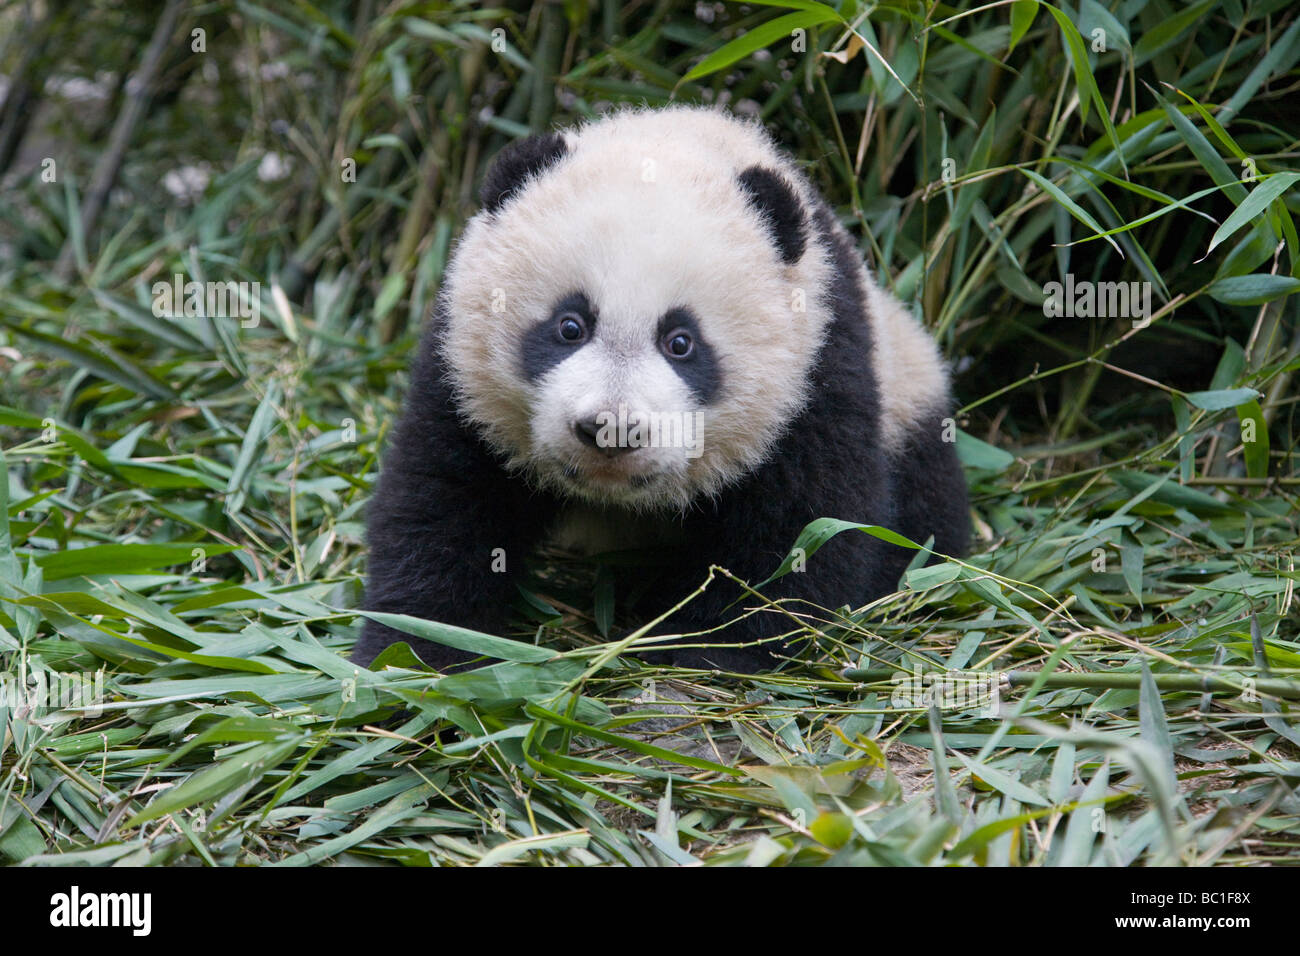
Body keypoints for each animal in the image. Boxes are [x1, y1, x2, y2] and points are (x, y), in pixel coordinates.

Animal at [353, 106, 969, 673]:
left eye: (681, 342)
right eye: (570, 326)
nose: (610, 430)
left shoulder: (820, 362)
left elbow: (802, 531)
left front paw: (709, 656)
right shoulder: (461, 373)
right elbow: (441, 505)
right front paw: (415, 651)